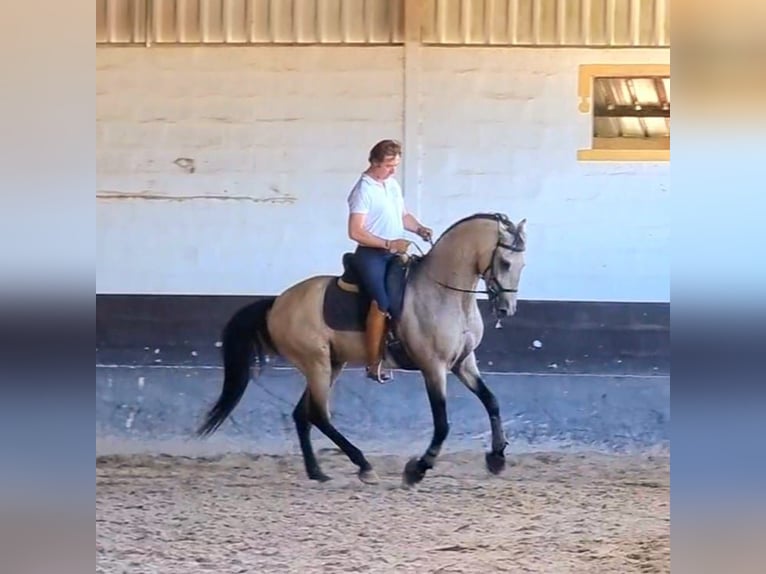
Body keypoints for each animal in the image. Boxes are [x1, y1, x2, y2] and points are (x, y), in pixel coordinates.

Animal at [196, 212, 528, 486]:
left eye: (522, 264)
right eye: (505, 263)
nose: (507, 309)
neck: (445, 293)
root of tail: (277, 303)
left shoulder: (464, 362)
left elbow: (492, 401)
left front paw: (497, 458)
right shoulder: (433, 367)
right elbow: (443, 424)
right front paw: (417, 469)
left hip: (332, 364)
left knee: (302, 415)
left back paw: (317, 472)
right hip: (317, 364)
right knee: (318, 415)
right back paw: (363, 465)